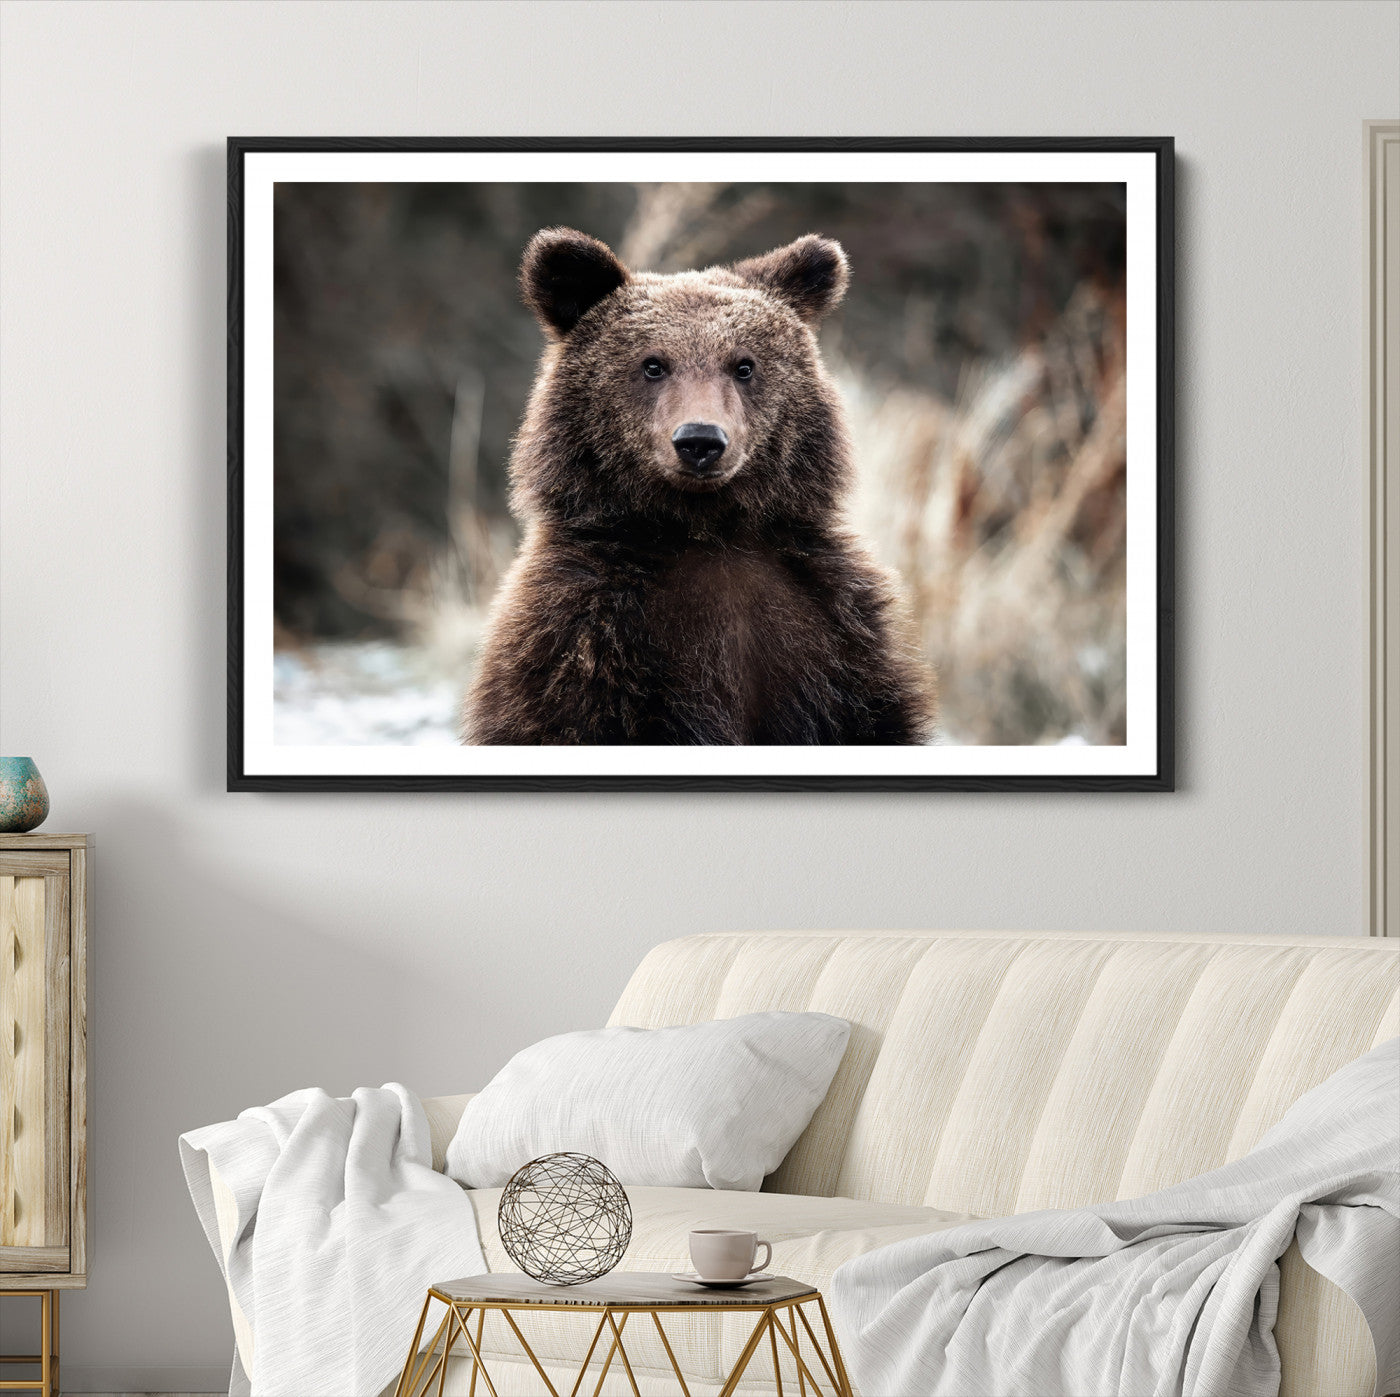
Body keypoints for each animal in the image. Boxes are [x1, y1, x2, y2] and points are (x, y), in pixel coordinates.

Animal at [463, 227, 935, 746]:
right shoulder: (581, 641)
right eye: (653, 364)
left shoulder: (834, 635)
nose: (700, 440)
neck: (706, 529)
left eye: (744, 365)